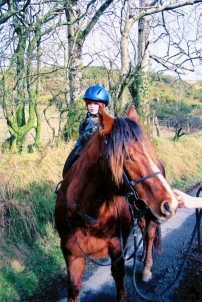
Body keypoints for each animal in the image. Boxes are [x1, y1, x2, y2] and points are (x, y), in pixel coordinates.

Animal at [54, 105, 177, 300]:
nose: (169, 204)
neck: (89, 213)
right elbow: (73, 287)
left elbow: (119, 278)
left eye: (151, 150)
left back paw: (146, 269)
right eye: (128, 156)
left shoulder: (117, 246)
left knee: (149, 235)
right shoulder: (70, 251)